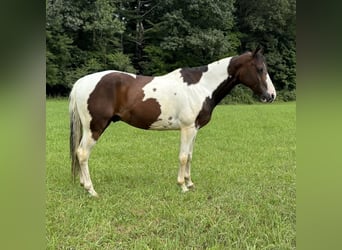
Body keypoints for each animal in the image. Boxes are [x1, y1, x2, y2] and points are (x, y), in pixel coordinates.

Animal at [69, 46, 276, 195]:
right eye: (260, 69)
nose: (271, 95)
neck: (201, 86)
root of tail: (82, 82)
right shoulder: (187, 128)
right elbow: (183, 156)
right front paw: (182, 186)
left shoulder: (195, 129)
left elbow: (190, 156)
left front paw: (190, 183)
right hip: (95, 128)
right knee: (82, 153)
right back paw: (91, 190)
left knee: (79, 153)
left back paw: (83, 184)